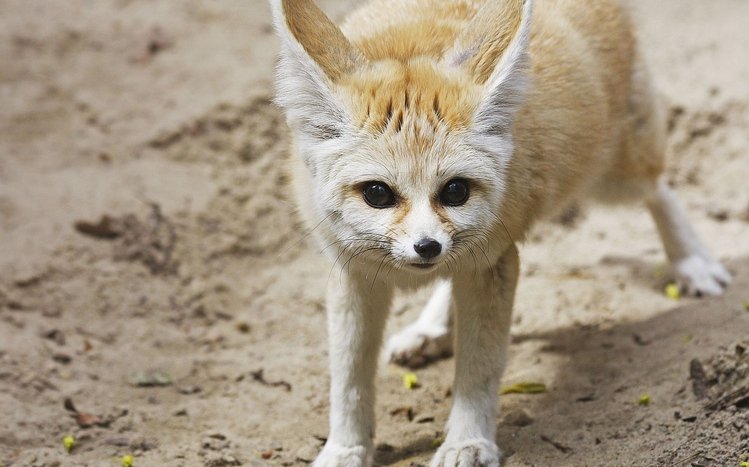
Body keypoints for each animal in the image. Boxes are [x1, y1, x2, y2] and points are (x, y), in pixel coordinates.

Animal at [269, 0, 731, 465]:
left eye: (455, 190)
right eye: (378, 194)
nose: (426, 247)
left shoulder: (492, 262)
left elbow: (478, 370)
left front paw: (467, 442)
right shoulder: (355, 274)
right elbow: (348, 380)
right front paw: (345, 448)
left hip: (615, 177)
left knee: (660, 186)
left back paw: (692, 262)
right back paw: (430, 329)